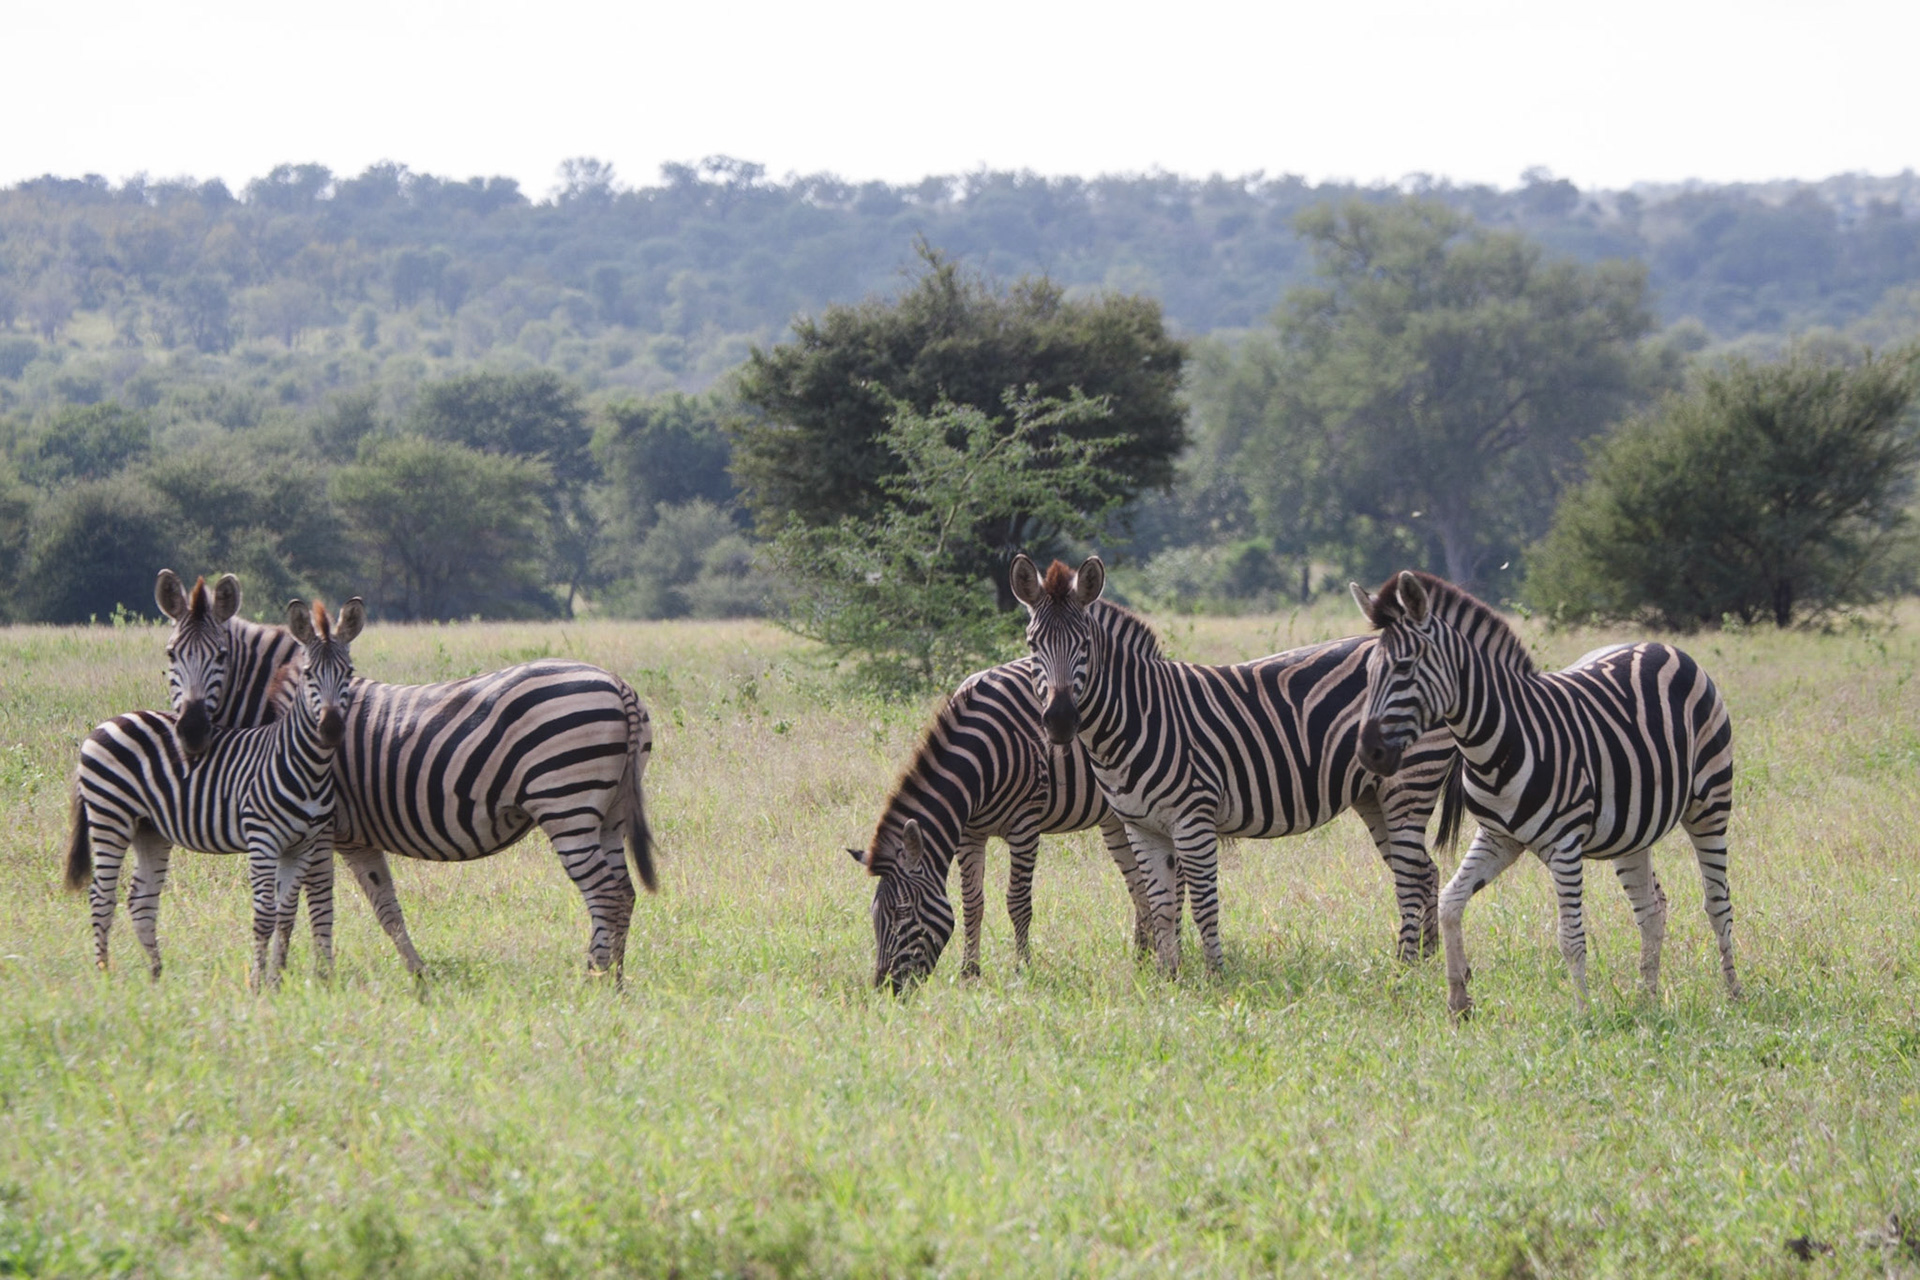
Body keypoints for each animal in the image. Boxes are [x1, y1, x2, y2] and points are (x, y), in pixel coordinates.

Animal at [68, 597, 362, 986]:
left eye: (349, 673)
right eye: (309, 674)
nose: (330, 730)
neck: (307, 766)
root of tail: (105, 723)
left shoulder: (302, 845)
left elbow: (286, 914)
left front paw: (277, 979)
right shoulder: (263, 839)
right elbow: (265, 916)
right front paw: (257, 983)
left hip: (149, 829)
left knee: (141, 899)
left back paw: (156, 974)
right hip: (109, 816)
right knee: (101, 896)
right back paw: (103, 973)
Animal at [154, 570, 656, 979]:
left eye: (221, 655)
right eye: (170, 654)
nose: (191, 732)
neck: (288, 711)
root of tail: (618, 684)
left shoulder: (317, 830)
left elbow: (310, 905)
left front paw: (311, 977)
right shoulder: (354, 838)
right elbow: (385, 908)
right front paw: (418, 976)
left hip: (566, 803)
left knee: (604, 893)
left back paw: (592, 980)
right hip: (609, 812)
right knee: (624, 892)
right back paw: (615, 981)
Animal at [853, 658, 1156, 989]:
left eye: (903, 913)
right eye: (874, 916)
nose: (886, 988)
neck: (979, 763)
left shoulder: (1025, 826)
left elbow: (1018, 902)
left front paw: (1023, 969)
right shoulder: (969, 834)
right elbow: (972, 902)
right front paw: (969, 972)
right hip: (1115, 820)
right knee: (1138, 882)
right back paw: (1143, 958)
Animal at [1010, 554, 1461, 978]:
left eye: (1084, 644)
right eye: (1032, 644)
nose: (1060, 720)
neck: (1136, 716)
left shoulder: (1193, 818)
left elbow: (1203, 905)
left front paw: (1214, 976)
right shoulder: (1142, 828)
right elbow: (1161, 907)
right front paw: (1167, 978)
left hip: (1409, 785)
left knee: (1411, 879)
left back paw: (1406, 969)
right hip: (1373, 796)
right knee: (1424, 873)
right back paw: (1424, 962)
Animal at [1350, 570, 1739, 1017]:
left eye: (1404, 667)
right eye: (1369, 672)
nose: (1368, 752)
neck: (1497, 743)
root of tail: (1663, 646)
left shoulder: (1564, 845)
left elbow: (1570, 938)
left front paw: (1583, 1014)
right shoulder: (1498, 839)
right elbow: (1450, 903)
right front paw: (1459, 999)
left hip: (1710, 804)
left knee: (1717, 903)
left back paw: (1733, 993)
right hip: (1632, 830)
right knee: (1651, 908)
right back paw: (1647, 999)